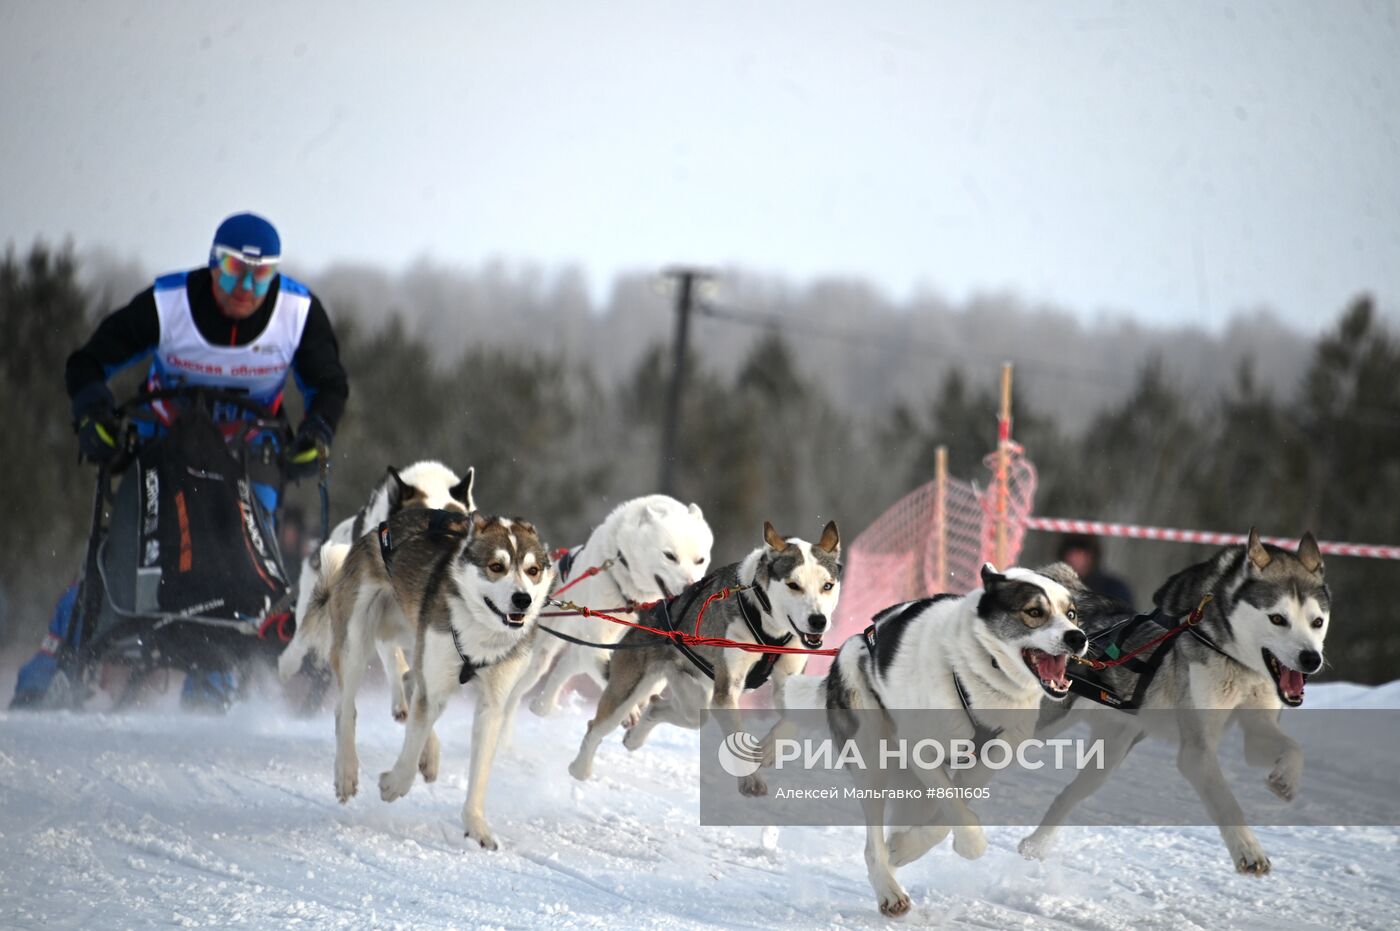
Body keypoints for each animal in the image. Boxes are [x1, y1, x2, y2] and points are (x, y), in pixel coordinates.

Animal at [299, 509, 551, 851]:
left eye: (532, 570)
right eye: (496, 566)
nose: (522, 599)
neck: (480, 631)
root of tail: (383, 527)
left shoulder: (491, 705)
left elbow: (478, 773)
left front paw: (476, 825)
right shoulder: (433, 675)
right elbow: (409, 749)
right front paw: (393, 785)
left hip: (414, 639)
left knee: (410, 682)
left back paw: (428, 755)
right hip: (357, 640)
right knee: (347, 708)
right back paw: (347, 771)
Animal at [506, 492, 716, 728]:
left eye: (700, 560)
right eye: (670, 556)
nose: (692, 586)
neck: (635, 596)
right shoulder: (597, 640)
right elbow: (612, 676)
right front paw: (630, 711)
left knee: (566, 667)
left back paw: (543, 705)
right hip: (541, 652)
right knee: (519, 689)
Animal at [568, 518, 840, 789]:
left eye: (827, 586)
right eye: (794, 585)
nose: (818, 621)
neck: (768, 625)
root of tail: (647, 614)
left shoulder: (788, 680)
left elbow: (792, 721)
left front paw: (768, 750)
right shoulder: (726, 692)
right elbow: (736, 736)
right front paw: (750, 779)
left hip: (692, 695)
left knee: (664, 708)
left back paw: (634, 737)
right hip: (629, 690)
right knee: (597, 727)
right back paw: (580, 769)